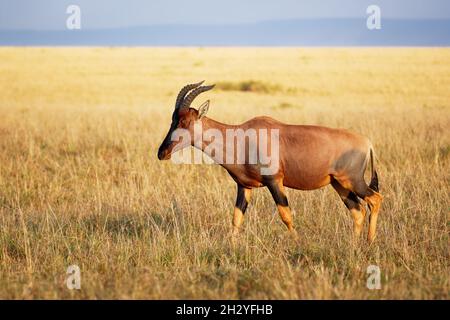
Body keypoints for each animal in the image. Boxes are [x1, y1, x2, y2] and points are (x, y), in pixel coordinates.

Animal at [158, 82, 384, 242]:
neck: (242, 137)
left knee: (375, 199)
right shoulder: (244, 186)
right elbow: (236, 218)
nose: (162, 152)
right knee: (358, 211)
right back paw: (354, 245)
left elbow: (286, 215)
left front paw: (297, 243)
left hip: (353, 181)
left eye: (185, 121)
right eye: (172, 119)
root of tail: (367, 143)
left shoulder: (275, 181)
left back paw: (370, 242)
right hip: (339, 184)